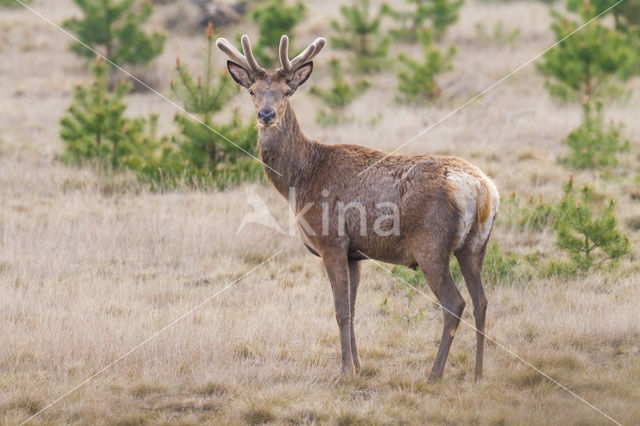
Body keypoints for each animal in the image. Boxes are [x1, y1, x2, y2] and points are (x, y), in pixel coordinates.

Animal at [218, 34, 502, 380]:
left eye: (287, 91)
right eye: (252, 91)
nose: (267, 115)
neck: (302, 179)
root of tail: (482, 190)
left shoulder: (332, 241)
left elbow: (340, 310)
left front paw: (343, 372)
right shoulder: (355, 253)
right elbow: (353, 310)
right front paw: (358, 365)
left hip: (430, 243)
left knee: (454, 304)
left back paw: (434, 375)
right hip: (475, 246)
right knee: (481, 302)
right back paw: (478, 374)